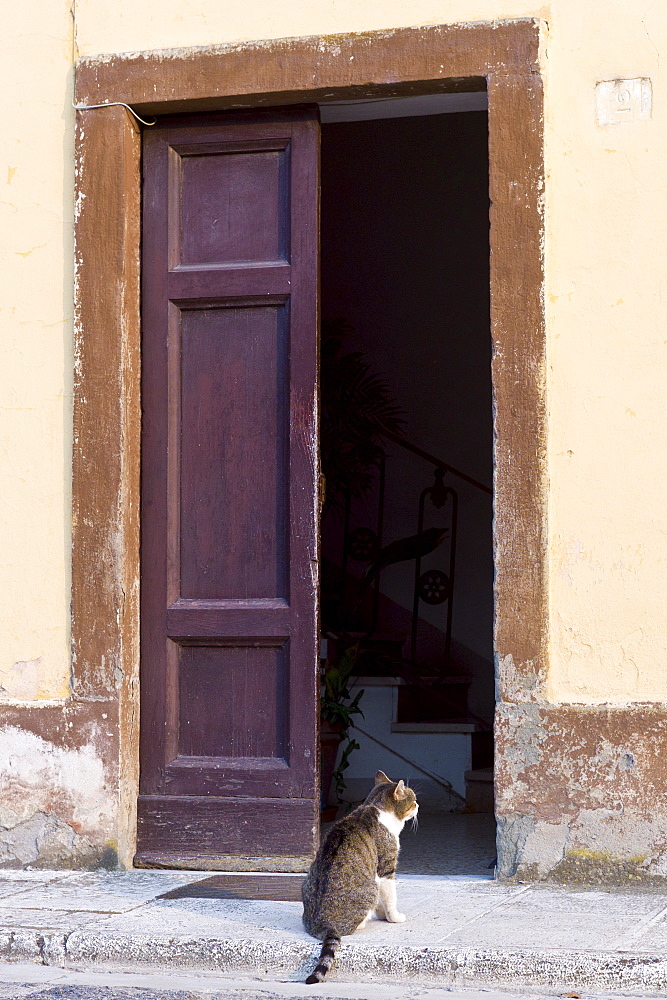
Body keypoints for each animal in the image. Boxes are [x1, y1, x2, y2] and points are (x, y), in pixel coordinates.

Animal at [302, 772, 418, 984]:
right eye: (413, 799)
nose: (418, 805)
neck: (373, 807)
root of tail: (322, 924)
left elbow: (383, 900)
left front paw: (382, 914)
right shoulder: (385, 869)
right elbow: (390, 897)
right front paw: (393, 917)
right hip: (370, 887)